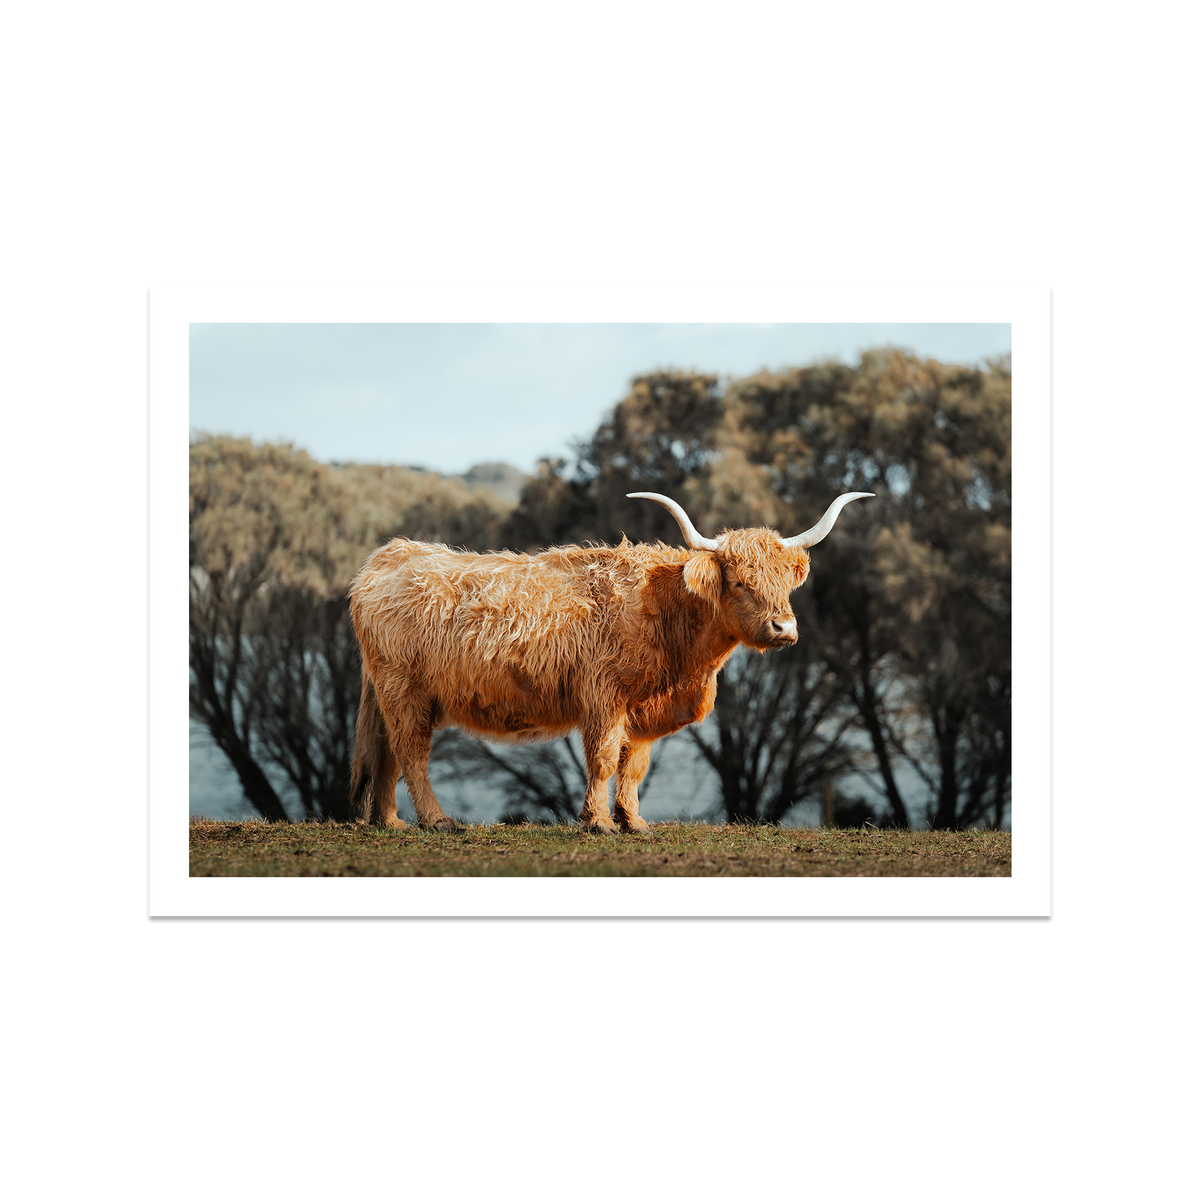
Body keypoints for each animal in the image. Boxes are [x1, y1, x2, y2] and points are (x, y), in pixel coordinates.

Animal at [347, 491, 872, 833]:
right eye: (740, 582)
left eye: (785, 582)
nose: (784, 629)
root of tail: (390, 554)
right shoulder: (604, 696)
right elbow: (602, 759)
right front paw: (598, 822)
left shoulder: (643, 708)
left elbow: (633, 765)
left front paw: (634, 821)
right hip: (405, 690)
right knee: (411, 752)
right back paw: (437, 821)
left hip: (392, 693)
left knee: (387, 752)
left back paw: (390, 822)